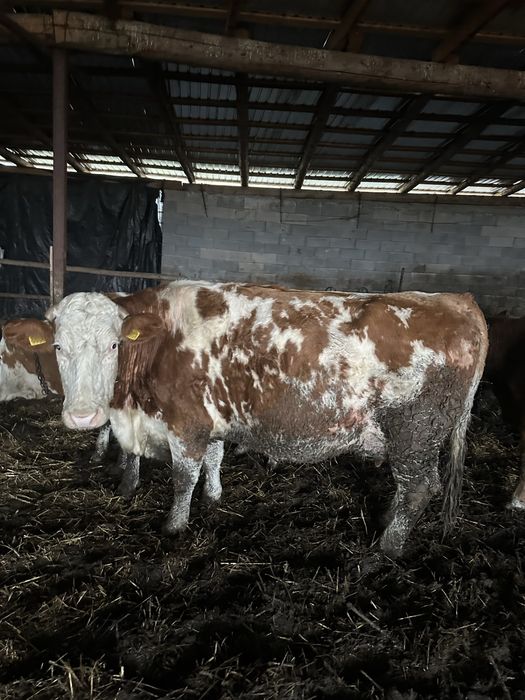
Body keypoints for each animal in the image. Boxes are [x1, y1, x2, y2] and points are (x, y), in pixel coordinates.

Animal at [4, 281, 488, 557]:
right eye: (58, 347)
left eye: (113, 345)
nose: (83, 415)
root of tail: (459, 301)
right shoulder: (211, 416)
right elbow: (214, 460)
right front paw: (214, 498)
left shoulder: (186, 424)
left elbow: (183, 477)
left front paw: (174, 526)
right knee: (412, 488)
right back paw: (388, 521)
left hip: (413, 430)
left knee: (420, 488)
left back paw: (387, 548)